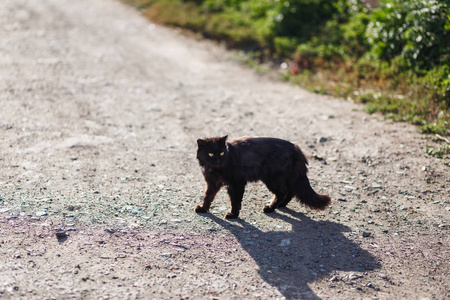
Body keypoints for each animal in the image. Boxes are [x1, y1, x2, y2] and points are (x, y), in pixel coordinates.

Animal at [195, 135, 328, 218]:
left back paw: (270, 208)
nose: (218, 160)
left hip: (272, 178)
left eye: (222, 153)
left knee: (282, 192)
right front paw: (203, 209)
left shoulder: (237, 183)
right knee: (290, 191)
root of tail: (296, 149)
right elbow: (207, 197)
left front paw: (233, 215)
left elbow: (235, 200)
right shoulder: (212, 183)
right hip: (286, 177)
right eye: (210, 154)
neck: (215, 169)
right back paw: (281, 205)